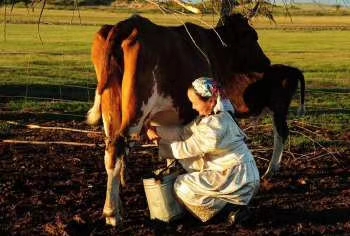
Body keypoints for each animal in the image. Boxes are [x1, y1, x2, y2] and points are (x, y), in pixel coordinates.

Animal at [87, 13, 304, 226]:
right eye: (252, 35)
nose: (266, 61)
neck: (212, 49)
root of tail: (127, 24)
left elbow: (169, 149)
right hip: (136, 110)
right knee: (117, 150)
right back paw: (112, 213)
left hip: (110, 112)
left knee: (110, 152)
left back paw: (118, 208)